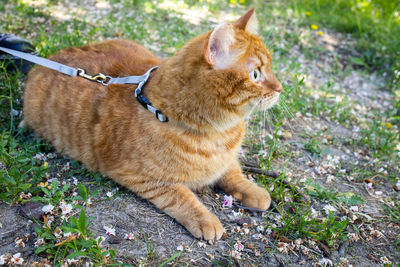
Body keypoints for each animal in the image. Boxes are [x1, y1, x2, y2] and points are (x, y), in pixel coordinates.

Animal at [23, 9, 282, 241]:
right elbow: (180, 195)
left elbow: (233, 172)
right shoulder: (140, 177)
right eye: (256, 74)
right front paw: (205, 219)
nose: (280, 88)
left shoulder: (225, 160)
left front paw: (253, 190)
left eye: (270, 68)